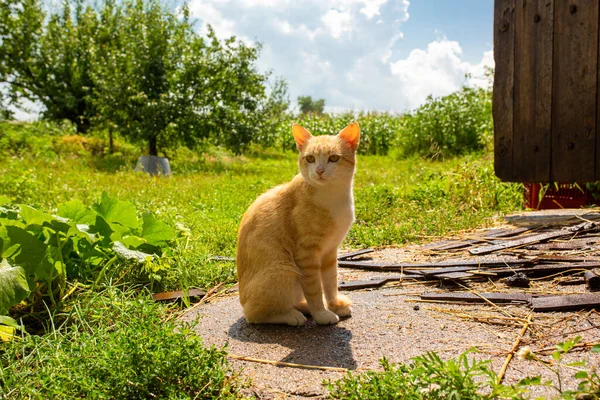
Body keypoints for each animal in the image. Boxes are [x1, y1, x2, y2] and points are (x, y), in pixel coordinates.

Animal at [234, 121, 358, 324]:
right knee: (254, 315)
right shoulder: (307, 255)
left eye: (333, 158)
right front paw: (321, 314)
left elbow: (330, 282)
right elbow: (314, 289)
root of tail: (242, 300)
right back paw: (291, 316)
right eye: (310, 158)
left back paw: (303, 307)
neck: (333, 196)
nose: (319, 171)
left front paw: (334, 304)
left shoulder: (330, 252)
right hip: (284, 270)